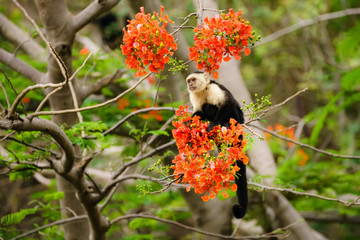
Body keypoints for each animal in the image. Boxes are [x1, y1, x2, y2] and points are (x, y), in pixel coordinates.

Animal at [186, 70, 248, 218]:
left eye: (193, 79)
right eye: (188, 81)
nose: (190, 85)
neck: (203, 90)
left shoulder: (214, 89)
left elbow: (228, 104)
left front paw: (212, 125)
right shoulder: (194, 95)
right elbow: (198, 113)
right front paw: (188, 124)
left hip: (237, 121)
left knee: (223, 109)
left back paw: (224, 125)